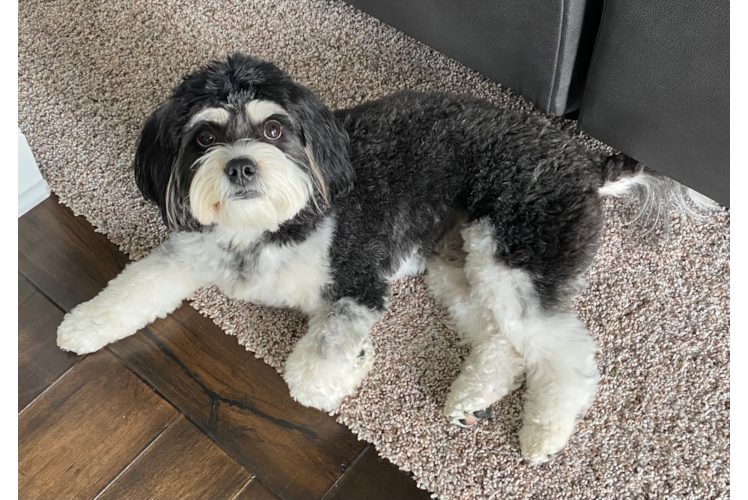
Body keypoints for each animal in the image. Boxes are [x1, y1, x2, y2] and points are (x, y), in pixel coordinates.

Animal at [57, 52, 668, 462]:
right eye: (204, 138)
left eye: (274, 128)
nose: (240, 166)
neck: (270, 227)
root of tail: (582, 161)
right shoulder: (191, 252)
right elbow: (135, 285)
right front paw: (83, 324)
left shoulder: (357, 281)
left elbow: (309, 377)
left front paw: (353, 365)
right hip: (457, 266)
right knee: (502, 342)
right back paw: (471, 398)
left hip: (516, 257)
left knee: (566, 352)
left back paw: (544, 434)